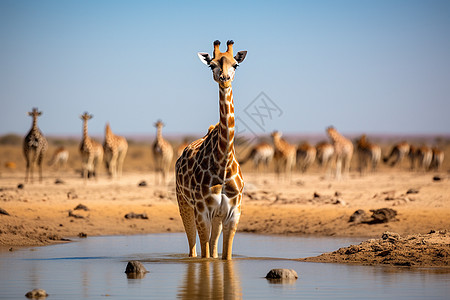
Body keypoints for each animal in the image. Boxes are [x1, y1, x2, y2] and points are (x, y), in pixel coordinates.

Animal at [175, 39, 246, 260]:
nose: (224, 79)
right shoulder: (202, 212)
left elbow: (224, 257)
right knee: (193, 250)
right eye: (211, 65)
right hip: (184, 204)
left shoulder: (232, 213)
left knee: (213, 249)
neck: (223, 163)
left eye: (235, 64)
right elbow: (204, 257)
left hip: (216, 217)